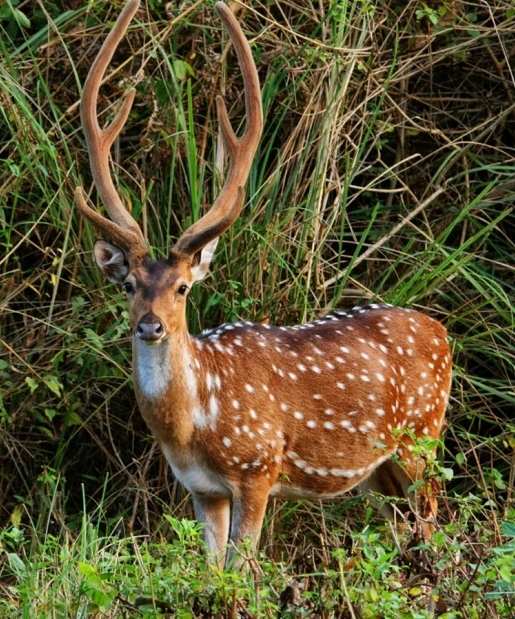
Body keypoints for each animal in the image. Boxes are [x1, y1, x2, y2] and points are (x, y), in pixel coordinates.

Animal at [75, 0, 452, 568]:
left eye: (183, 288)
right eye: (129, 285)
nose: (151, 326)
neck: (196, 425)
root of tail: (444, 334)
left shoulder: (257, 466)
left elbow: (243, 568)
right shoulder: (201, 489)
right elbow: (211, 571)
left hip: (423, 438)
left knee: (435, 525)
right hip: (379, 473)